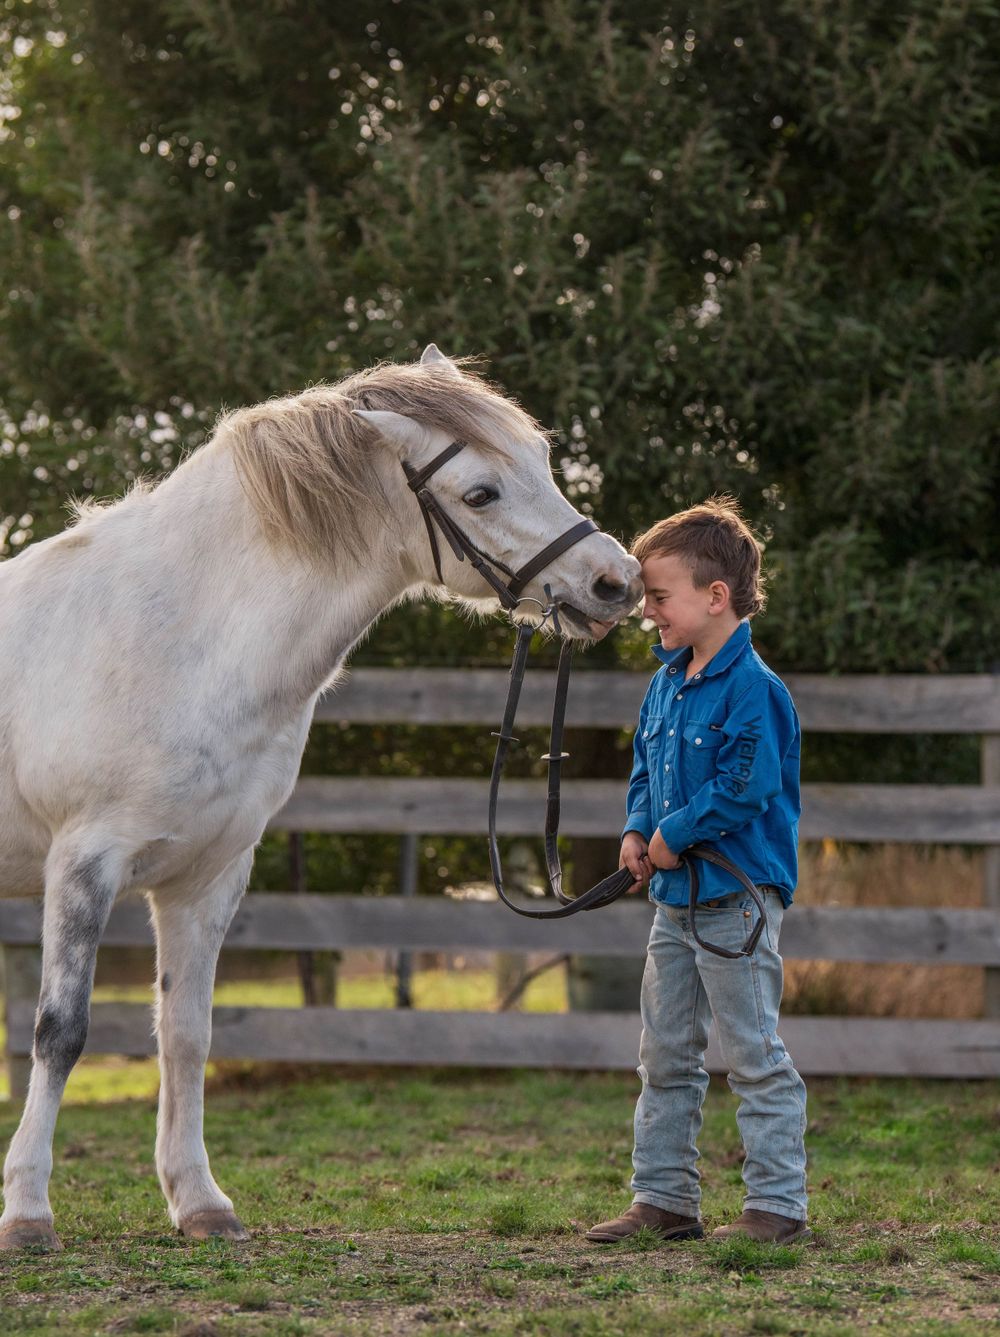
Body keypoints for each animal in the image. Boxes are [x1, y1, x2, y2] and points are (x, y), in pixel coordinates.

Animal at [0, 344, 641, 1250]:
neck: (177, 637)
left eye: (546, 461)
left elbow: (187, 1034)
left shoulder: (208, 876)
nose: (616, 581)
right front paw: (27, 1210)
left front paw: (201, 1201)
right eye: (481, 492)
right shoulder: (84, 860)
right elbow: (60, 1031)